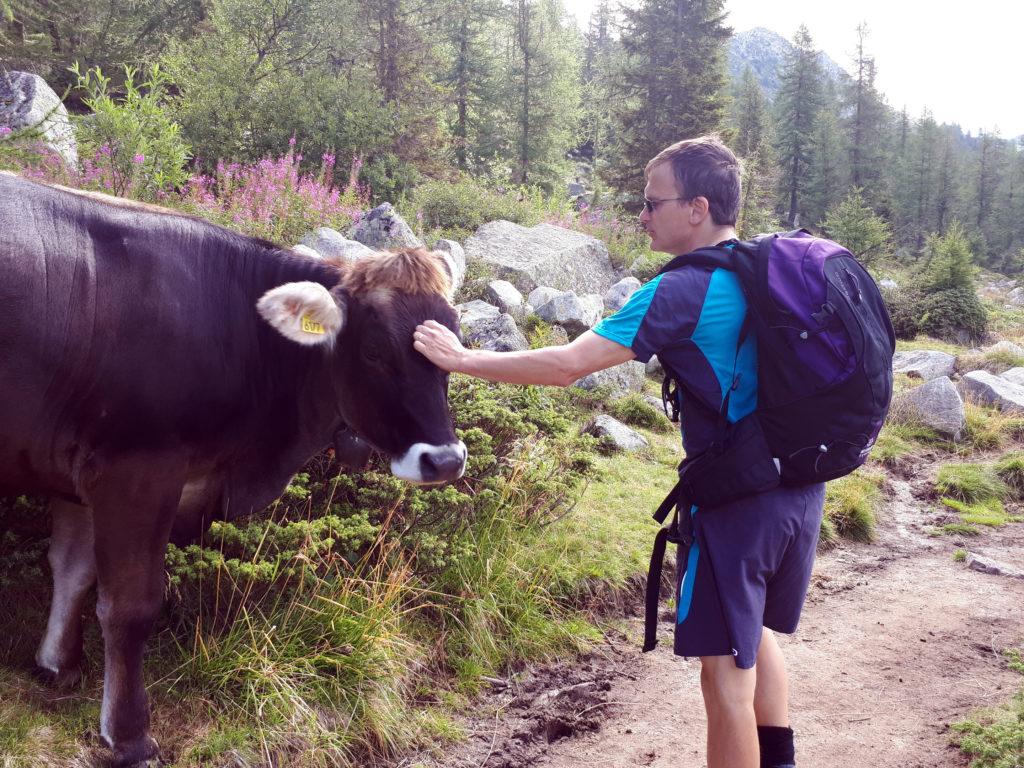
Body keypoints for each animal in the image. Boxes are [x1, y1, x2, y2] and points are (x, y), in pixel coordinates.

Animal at [0, 174, 468, 768]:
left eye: (453, 341)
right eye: (374, 352)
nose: (445, 460)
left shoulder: (80, 474)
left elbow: (72, 570)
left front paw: (57, 666)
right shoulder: (136, 471)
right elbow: (129, 606)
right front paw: (129, 736)